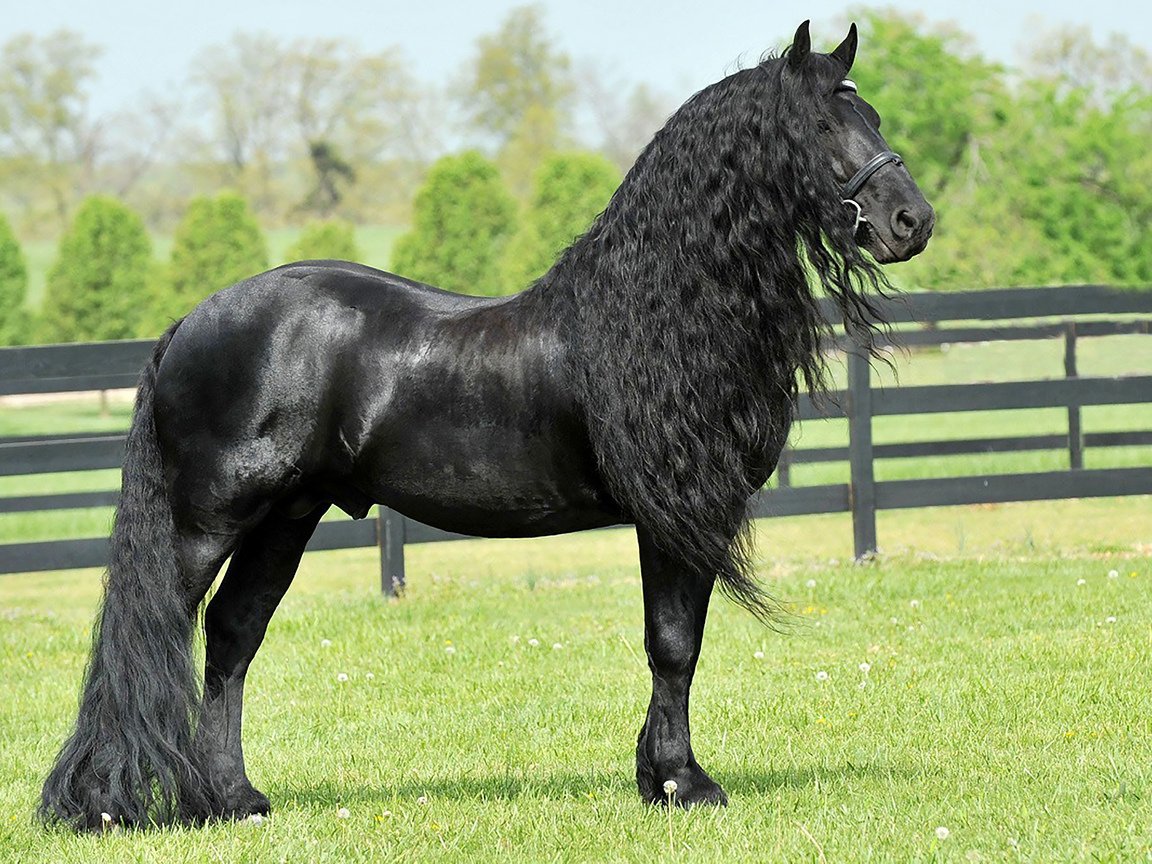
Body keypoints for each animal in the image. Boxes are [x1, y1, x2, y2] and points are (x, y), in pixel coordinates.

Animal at [40, 20, 933, 830]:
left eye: (875, 116)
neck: (655, 314)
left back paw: (233, 800)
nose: (911, 222)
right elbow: (673, 643)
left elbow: (675, 647)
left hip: (286, 517)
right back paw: (115, 802)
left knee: (231, 638)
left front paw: (656, 777)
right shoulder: (673, 518)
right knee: (152, 630)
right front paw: (685, 785)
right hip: (209, 520)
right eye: (820, 125)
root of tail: (191, 321)